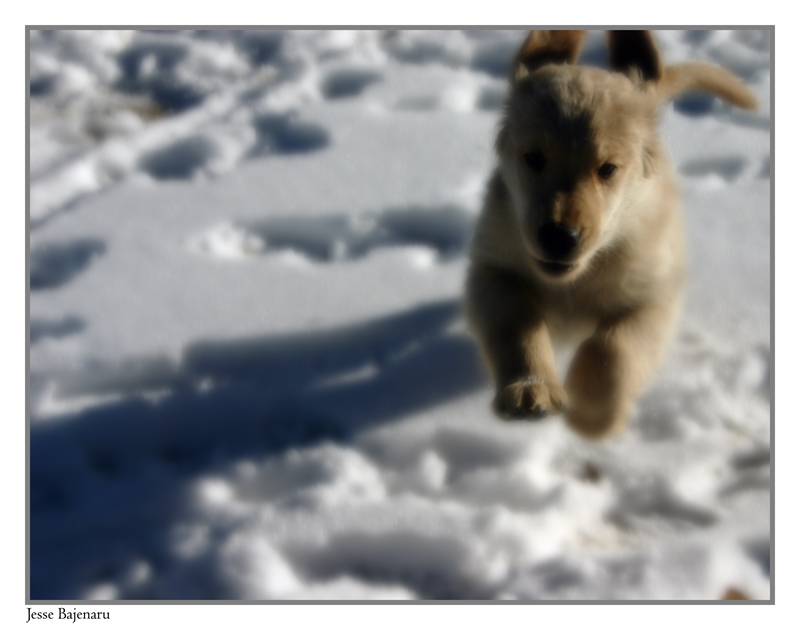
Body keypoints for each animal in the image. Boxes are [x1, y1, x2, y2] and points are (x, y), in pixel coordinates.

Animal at [462, 30, 756, 440]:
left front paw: (592, 415)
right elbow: (516, 324)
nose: (559, 237)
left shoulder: (654, 296)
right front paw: (532, 389)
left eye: (608, 169)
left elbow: (613, 349)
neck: (576, 278)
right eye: (534, 157)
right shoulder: (494, 269)